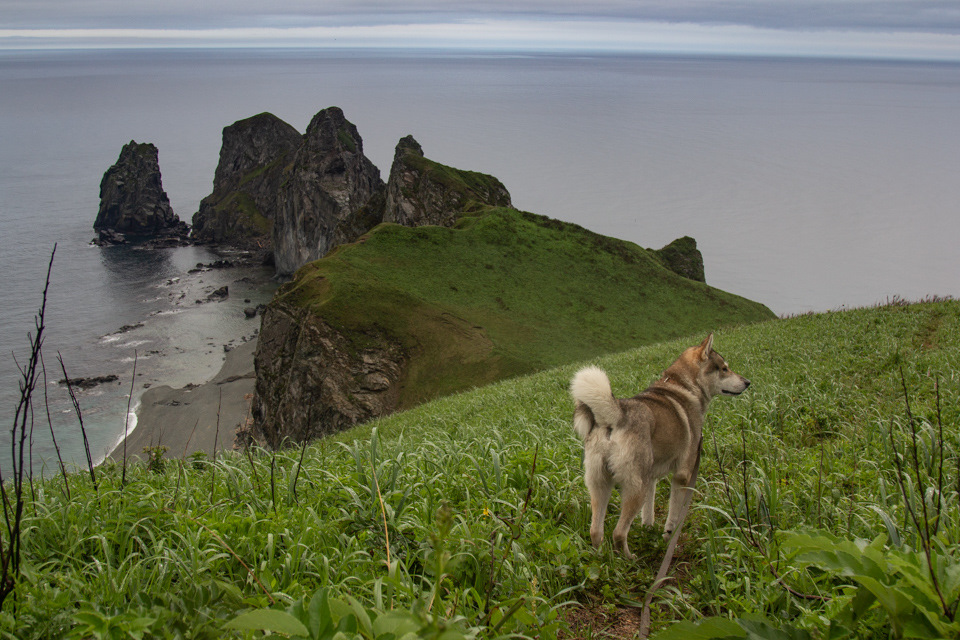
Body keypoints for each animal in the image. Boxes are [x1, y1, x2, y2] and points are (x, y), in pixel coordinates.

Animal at [568, 332, 752, 556]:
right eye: (724, 368)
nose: (747, 382)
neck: (684, 386)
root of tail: (617, 414)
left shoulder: (652, 478)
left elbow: (648, 511)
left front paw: (648, 530)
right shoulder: (683, 475)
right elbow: (674, 514)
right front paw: (669, 537)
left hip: (601, 484)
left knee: (595, 531)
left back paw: (602, 557)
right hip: (635, 487)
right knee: (619, 533)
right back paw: (629, 558)